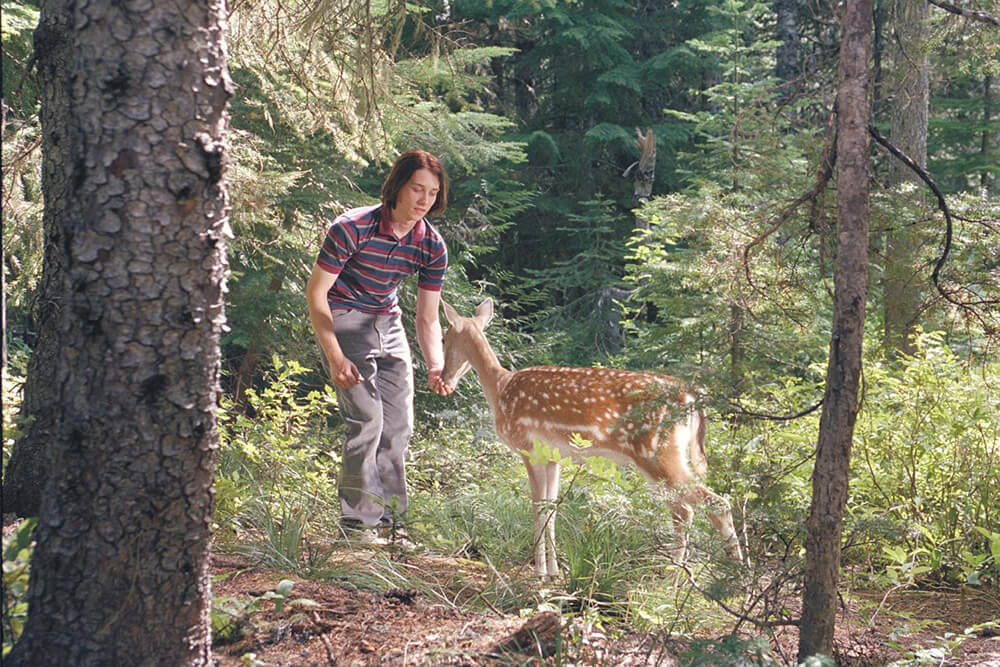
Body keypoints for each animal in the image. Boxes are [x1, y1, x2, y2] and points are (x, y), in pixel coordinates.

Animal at [440, 298, 744, 580]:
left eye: (444, 338)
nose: (445, 379)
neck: (500, 388)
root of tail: (691, 395)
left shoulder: (528, 447)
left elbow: (537, 508)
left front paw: (539, 573)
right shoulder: (553, 457)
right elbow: (552, 510)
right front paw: (554, 572)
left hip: (657, 452)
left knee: (701, 506)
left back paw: (684, 577)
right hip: (671, 454)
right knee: (694, 507)